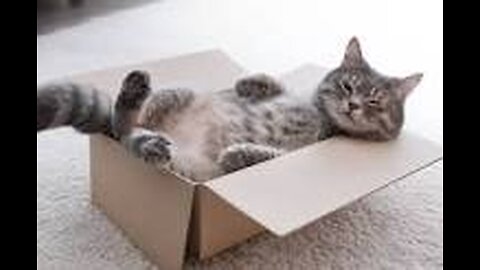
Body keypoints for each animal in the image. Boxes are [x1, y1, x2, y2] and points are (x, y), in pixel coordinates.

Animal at [36, 37, 420, 181]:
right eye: (347, 86)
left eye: (374, 101)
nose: (352, 105)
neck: (321, 116)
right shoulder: (296, 95)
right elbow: (277, 85)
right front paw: (250, 82)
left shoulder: (298, 151)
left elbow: (265, 154)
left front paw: (238, 153)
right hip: (183, 93)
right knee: (126, 124)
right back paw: (139, 95)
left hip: (185, 168)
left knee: (126, 133)